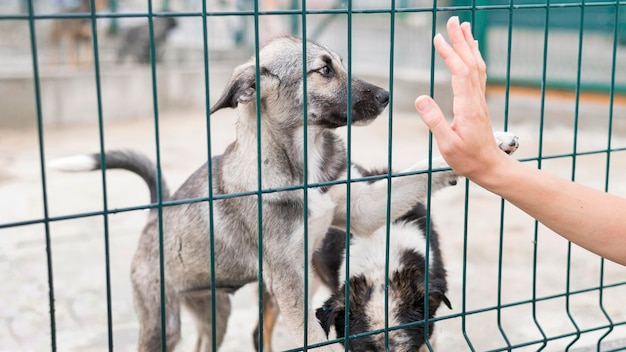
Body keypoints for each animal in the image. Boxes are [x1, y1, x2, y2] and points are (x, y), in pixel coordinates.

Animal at [50, 37, 458, 350]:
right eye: (324, 71)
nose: (387, 95)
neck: (302, 162)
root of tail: (154, 216)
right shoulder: (288, 283)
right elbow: (315, 338)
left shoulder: (361, 211)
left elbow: (414, 175)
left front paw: (465, 151)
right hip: (162, 323)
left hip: (214, 313)